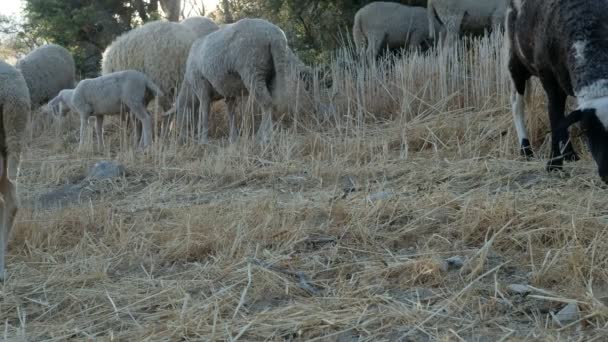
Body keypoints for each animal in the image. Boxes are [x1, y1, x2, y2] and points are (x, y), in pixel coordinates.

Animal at [506, 0, 608, 182]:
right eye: (587, 132)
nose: (607, 175)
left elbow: (562, 118)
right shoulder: (549, 78)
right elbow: (554, 116)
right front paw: (554, 165)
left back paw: (570, 154)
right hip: (515, 60)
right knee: (517, 104)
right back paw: (526, 150)